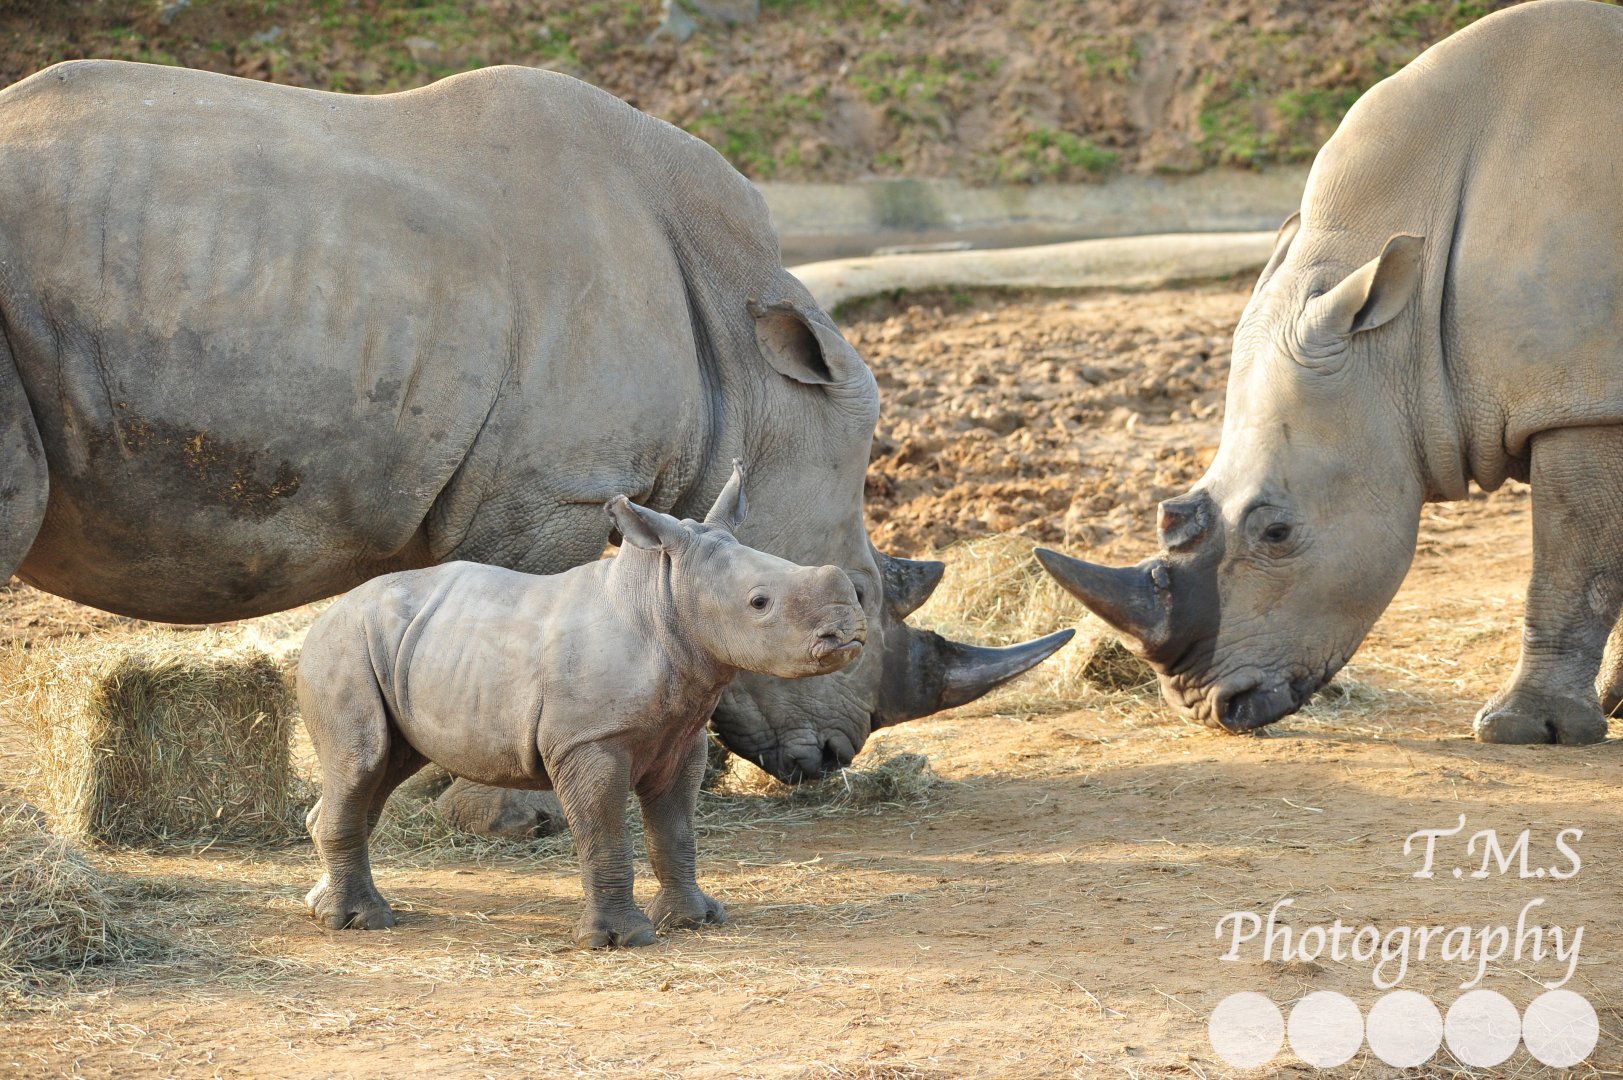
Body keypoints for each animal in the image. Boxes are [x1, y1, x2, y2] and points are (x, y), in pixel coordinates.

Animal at [0, 59, 1070, 796]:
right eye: (852, 592)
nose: (831, 756)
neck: (750, 380)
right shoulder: (555, 487)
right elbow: (522, 625)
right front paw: (506, 811)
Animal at [299, 463, 863, 945]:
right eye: (760, 603)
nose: (850, 633)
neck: (661, 597)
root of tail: (323, 616)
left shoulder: (682, 735)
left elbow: (675, 832)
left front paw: (695, 919)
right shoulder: (589, 740)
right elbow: (604, 834)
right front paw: (621, 940)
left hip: (399, 646)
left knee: (382, 768)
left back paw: (322, 908)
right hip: (343, 647)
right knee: (363, 761)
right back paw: (362, 921)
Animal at [1037, 0, 1623, 744]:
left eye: (1277, 533)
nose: (1210, 708)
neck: (1400, 332)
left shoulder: (1581, 401)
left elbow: (1572, 562)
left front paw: (1524, 728)